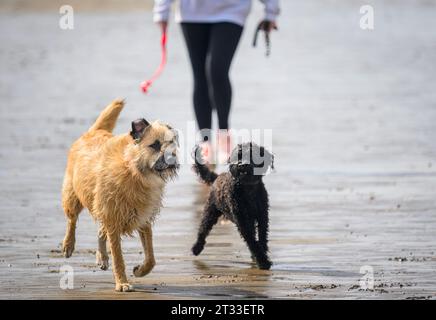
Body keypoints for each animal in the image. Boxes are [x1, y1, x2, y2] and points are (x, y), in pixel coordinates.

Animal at [60, 99, 178, 292]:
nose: (173, 158)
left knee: (100, 230)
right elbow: (118, 257)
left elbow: (151, 257)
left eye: (172, 143)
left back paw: (101, 256)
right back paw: (68, 244)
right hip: (73, 195)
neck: (134, 171)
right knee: (72, 220)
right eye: (155, 145)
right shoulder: (113, 219)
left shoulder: (142, 217)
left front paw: (140, 271)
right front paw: (122, 282)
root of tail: (93, 131)